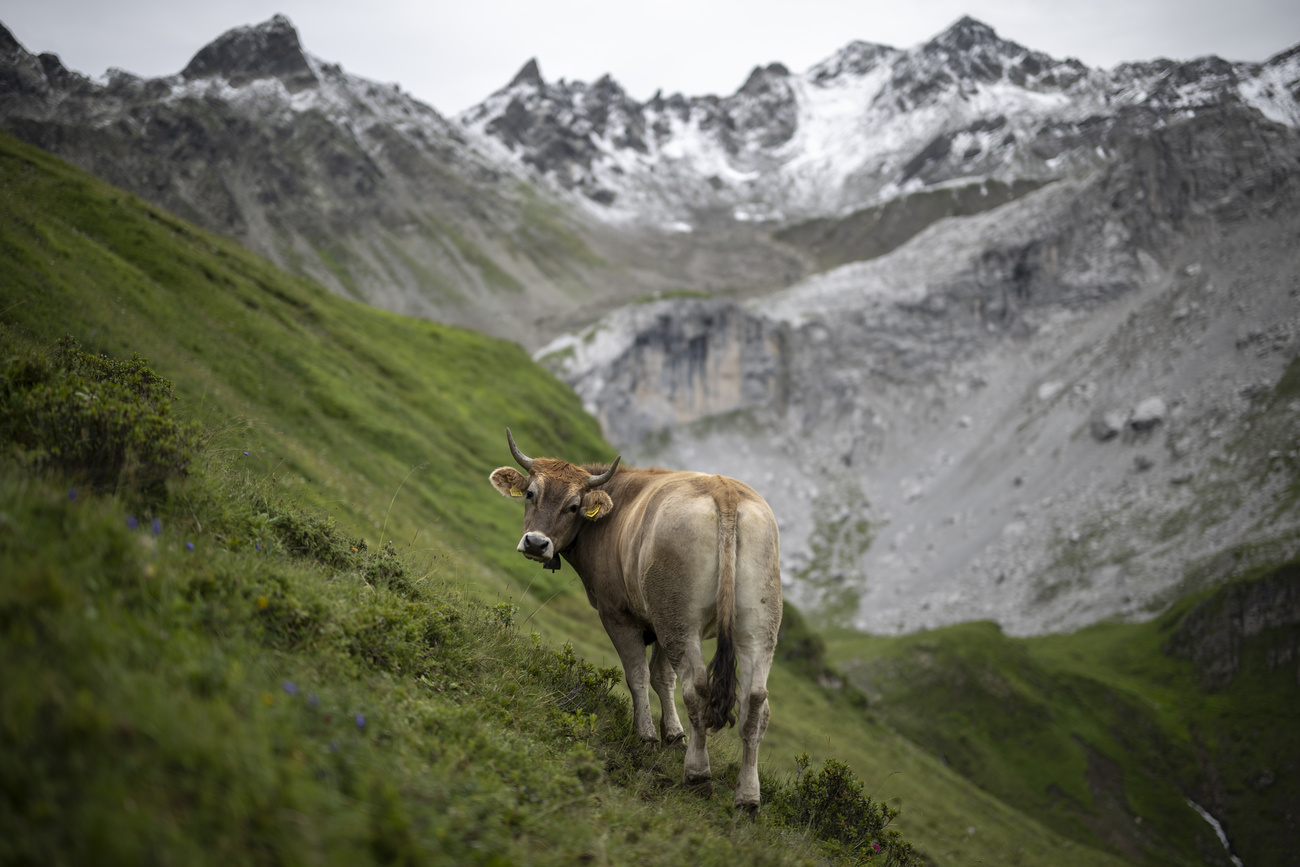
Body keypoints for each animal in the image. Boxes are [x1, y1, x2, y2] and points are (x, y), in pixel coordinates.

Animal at [489, 428, 783, 812]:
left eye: (573, 506)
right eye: (530, 494)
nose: (537, 543)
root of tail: (724, 490)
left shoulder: (619, 615)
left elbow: (638, 675)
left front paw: (646, 735)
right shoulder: (658, 620)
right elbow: (662, 677)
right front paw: (673, 734)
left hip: (680, 618)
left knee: (697, 689)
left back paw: (697, 775)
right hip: (754, 624)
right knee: (755, 703)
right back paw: (747, 797)